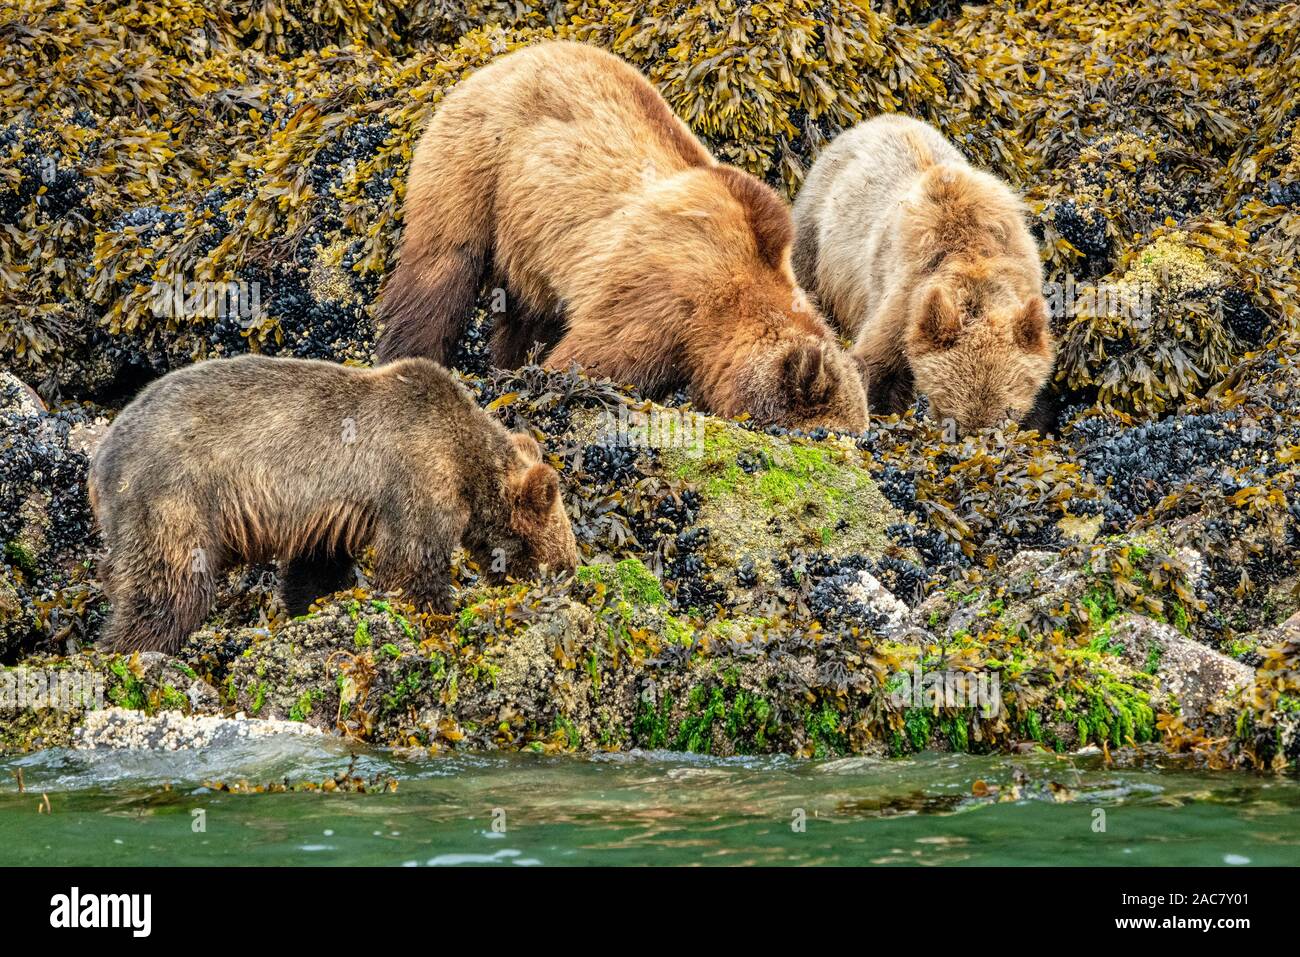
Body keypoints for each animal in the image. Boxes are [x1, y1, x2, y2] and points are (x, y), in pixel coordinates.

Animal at [89, 356, 577, 655]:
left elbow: (315, 569)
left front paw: (311, 608)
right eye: (563, 553)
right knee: (173, 583)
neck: (468, 461)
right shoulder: (416, 475)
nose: (572, 571)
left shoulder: (327, 517)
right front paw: (439, 613)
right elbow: (412, 562)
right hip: (175, 492)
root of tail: (99, 457)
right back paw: (132, 649)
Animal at [371, 41, 868, 434]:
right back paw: (412, 358)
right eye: (829, 438)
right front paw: (552, 383)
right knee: (443, 266)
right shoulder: (659, 297)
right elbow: (595, 357)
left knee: (528, 311)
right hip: (479, 160)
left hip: (528, 237)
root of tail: (510, 57)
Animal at [790, 113, 1055, 431]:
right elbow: (878, 366)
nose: (975, 433)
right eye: (952, 411)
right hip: (816, 229)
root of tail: (877, 120)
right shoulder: (904, 298)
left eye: (1007, 414)